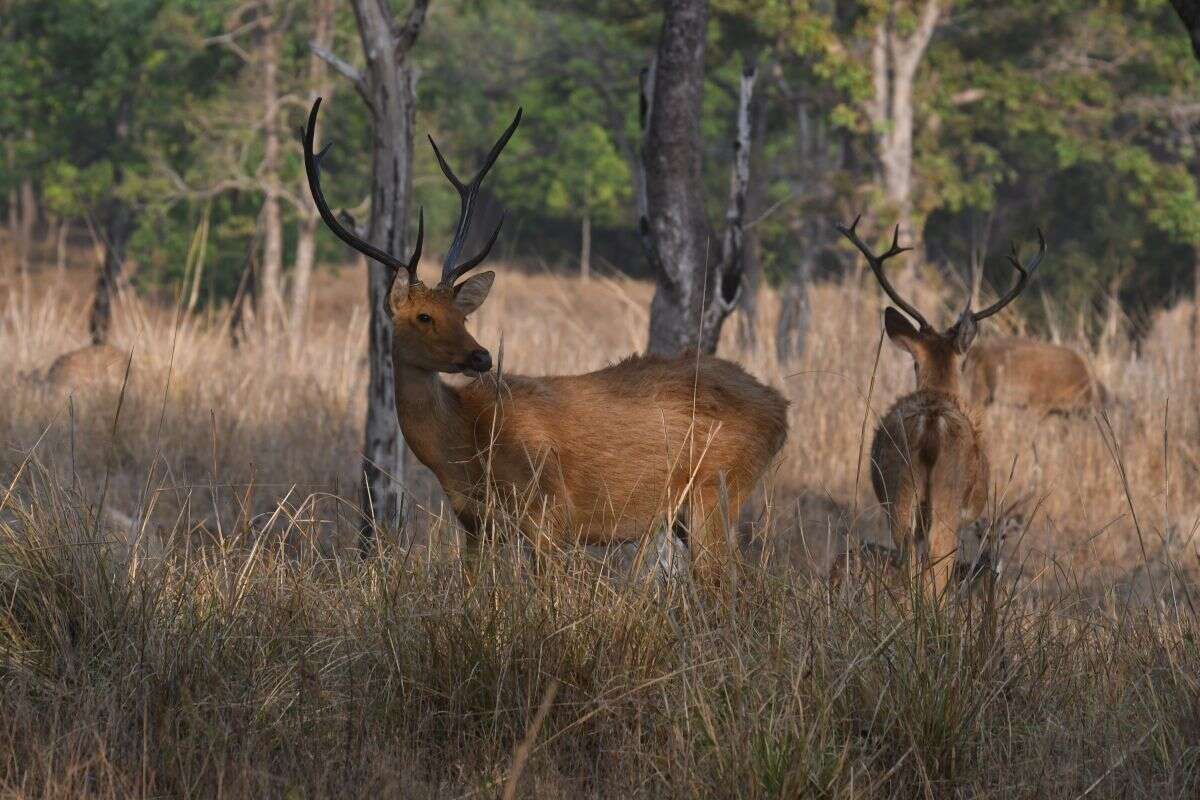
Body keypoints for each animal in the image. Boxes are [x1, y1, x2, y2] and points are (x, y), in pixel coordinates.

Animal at [302, 101, 787, 587]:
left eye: (462, 315)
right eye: (425, 316)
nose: (481, 355)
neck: (462, 448)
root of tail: (779, 410)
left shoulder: (548, 511)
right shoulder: (477, 523)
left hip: (715, 488)